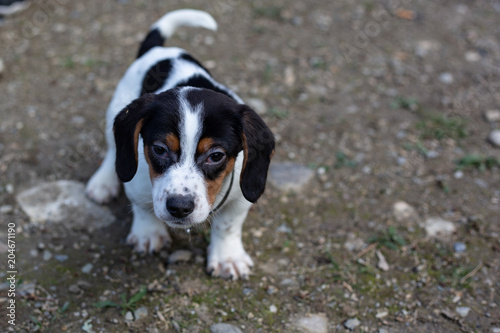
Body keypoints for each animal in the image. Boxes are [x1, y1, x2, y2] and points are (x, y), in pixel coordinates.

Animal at [84, 9, 276, 278]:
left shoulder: (240, 196)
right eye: (159, 150)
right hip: (116, 111)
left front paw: (227, 258)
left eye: (216, 156)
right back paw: (103, 182)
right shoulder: (138, 184)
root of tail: (160, 50)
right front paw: (148, 233)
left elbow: (228, 225)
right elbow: (143, 208)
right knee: (114, 150)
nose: (179, 207)